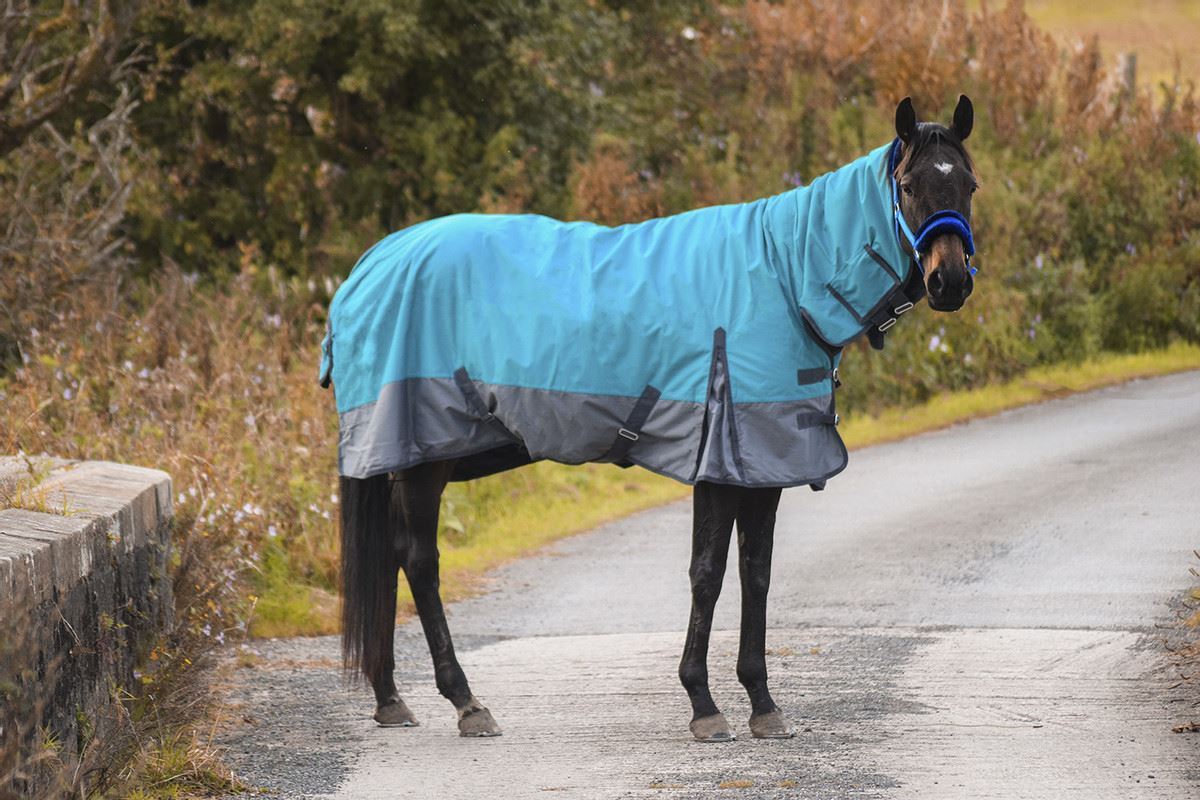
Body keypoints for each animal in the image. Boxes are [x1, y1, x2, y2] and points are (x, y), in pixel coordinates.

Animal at [321, 96, 978, 742]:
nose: (949, 282)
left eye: (968, 184)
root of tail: (369, 266)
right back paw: (465, 702)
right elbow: (708, 574)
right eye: (910, 185)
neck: (786, 277)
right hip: (422, 461)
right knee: (419, 561)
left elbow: (757, 575)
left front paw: (762, 703)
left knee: (391, 557)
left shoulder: (762, 470)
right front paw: (704, 704)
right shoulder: (720, 464)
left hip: (421, 456)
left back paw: (390, 699)